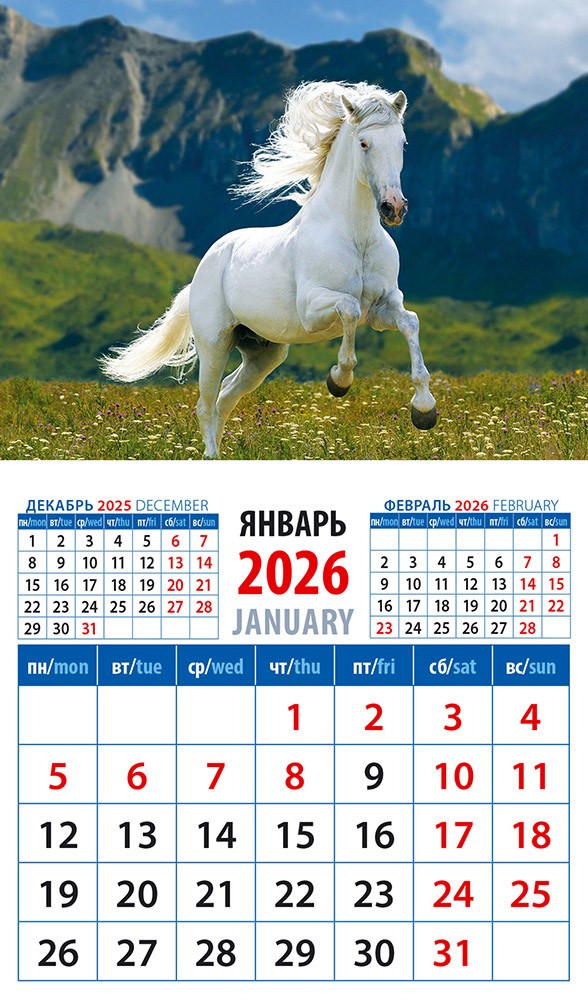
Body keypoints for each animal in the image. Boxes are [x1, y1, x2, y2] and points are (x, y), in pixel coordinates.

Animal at [100, 80, 437, 457]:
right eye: (364, 143)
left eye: (402, 142)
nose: (394, 207)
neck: (355, 236)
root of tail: (201, 272)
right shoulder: (313, 308)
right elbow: (349, 308)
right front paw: (339, 381)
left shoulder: (381, 308)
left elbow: (410, 322)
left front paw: (424, 411)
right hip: (214, 344)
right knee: (205, 403)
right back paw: (211, 455)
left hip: (264, 352)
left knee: (226, 395)